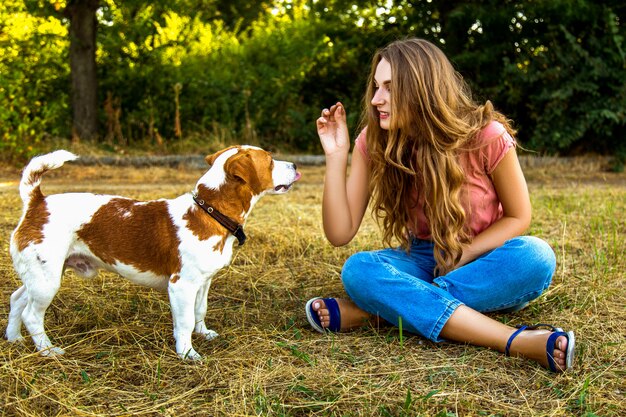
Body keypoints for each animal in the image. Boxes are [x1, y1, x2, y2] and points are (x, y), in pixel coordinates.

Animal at [6, 145, 300, 358]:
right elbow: (185, 321)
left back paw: (14, 338)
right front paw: (187, 353)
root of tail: (37, 202)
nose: (296, 165)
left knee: (17, 299)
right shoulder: (181, 286)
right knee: (31, 315)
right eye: (270, 160)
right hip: (47, 281)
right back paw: (47, 350)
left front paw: (203, 334)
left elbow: (200, 311)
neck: (209, 212)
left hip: (40, 277)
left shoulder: (203, 282)